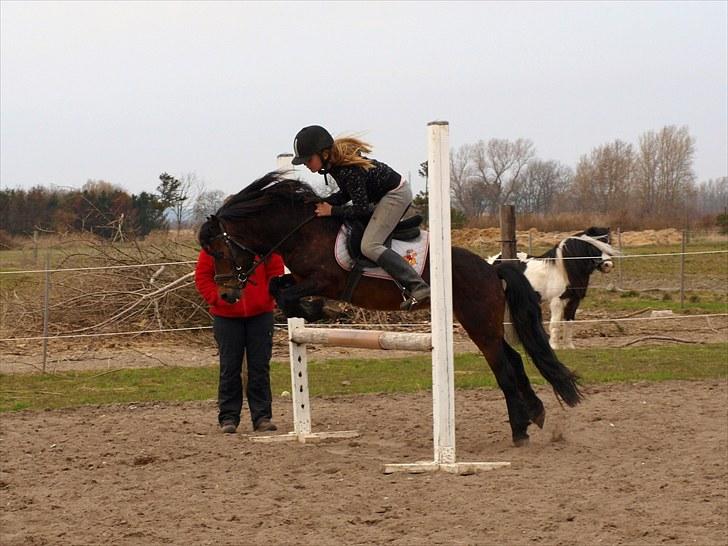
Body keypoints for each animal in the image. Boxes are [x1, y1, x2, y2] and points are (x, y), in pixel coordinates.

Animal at [196, 172, 584, 444]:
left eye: (219, 250)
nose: (227, 295)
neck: (302, 231)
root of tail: (492, 268)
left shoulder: (325, 280)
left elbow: (288, 295)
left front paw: (320, 311)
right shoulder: (300, 278)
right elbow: (278, 288)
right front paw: (316, 312)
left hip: (479, 323)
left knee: (502, 366)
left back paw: (519, 431)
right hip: (479, 322)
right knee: (513, 359)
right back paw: (535, 414)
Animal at [490, 226, 620, 348]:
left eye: (609, 244)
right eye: (595, 245)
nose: (608, 265)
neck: (563, 270)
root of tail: (493, 261)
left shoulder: (573, 301)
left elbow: (569, 323)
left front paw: (569, 346)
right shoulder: (557, 301)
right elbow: (555, 323)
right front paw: (554, 346)